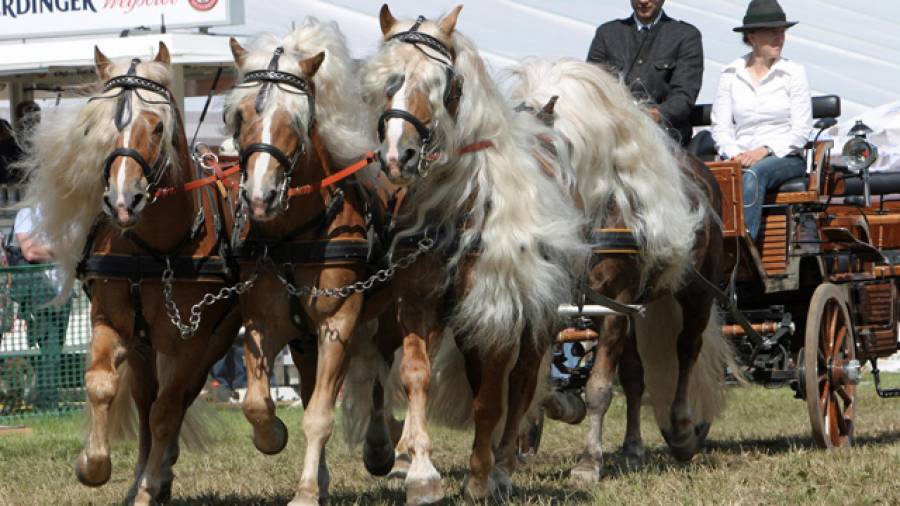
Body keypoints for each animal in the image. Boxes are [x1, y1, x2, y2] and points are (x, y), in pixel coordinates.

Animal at [19, 44, 244, 506]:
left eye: (156, 127)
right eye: (98, 128)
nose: (124, 201)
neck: (155, 246)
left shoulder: (194, 341)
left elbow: (167, 412)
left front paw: (151, 485)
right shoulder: (114, 320)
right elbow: (102, 384)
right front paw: (93, 466)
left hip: (214, 339)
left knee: (174, 400)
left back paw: (159, 471)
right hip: (145, 346)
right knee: (144, 399)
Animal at [225, 17, 380, 504]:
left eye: (296, 118)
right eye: (241, 115)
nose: (260, 197)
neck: (296, 234)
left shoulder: (339, 323)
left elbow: (319, 415)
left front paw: (307, 491)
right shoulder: (264, 323)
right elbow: (257, 402)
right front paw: (272, 436)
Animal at [342, 4, 592, 502]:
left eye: (446, 83)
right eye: (385, 82)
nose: (399, 156)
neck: (459, 206)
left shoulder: (495, 311)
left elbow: (491, 400)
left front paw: (479, 479)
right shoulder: (419, 303)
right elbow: (415, 375)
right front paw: (421, 473)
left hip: (536, 322)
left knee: (520, 384)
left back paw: (502, 468)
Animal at [506, 58, 740, 478]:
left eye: (545, 157)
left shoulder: (615, 301)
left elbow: (599, 386)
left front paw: (588, 461)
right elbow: (541, 381)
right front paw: (560, 410)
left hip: (696, 294)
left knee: (687, 350)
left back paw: (682, 430)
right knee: (634, 376)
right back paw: (632, 449)